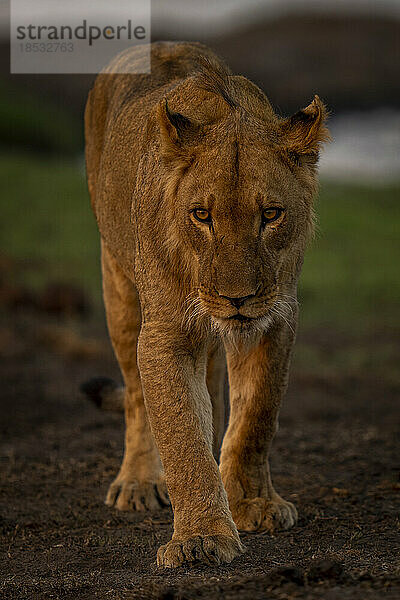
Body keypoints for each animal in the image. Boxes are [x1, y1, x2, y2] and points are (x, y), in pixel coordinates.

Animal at [83, 41, 330, 568]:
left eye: (271, 214)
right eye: (201, 215)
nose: (237, 299)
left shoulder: (276, 318)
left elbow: (257, 413)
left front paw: (252, 504)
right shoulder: (167, 331)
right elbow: (180, 431)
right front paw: (200, 537)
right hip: (118, 281)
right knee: (136, 396)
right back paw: (139, 483)